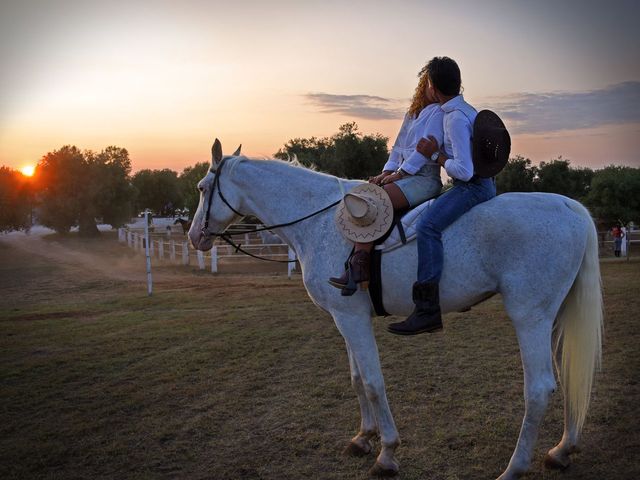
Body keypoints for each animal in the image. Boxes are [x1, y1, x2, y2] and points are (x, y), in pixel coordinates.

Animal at [188, 140, 604, 480]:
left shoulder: (351, 319)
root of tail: (569, 206)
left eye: (203, 188)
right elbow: (357, 379)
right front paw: (363, 438)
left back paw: (514, 467)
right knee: (569, 375)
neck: (319, 221)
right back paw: (562, 450)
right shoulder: (346, 319)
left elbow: (373, 382)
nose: (194, 237)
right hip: (555, 318)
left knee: (539, 388)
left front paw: (386, 453)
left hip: (529, 318)